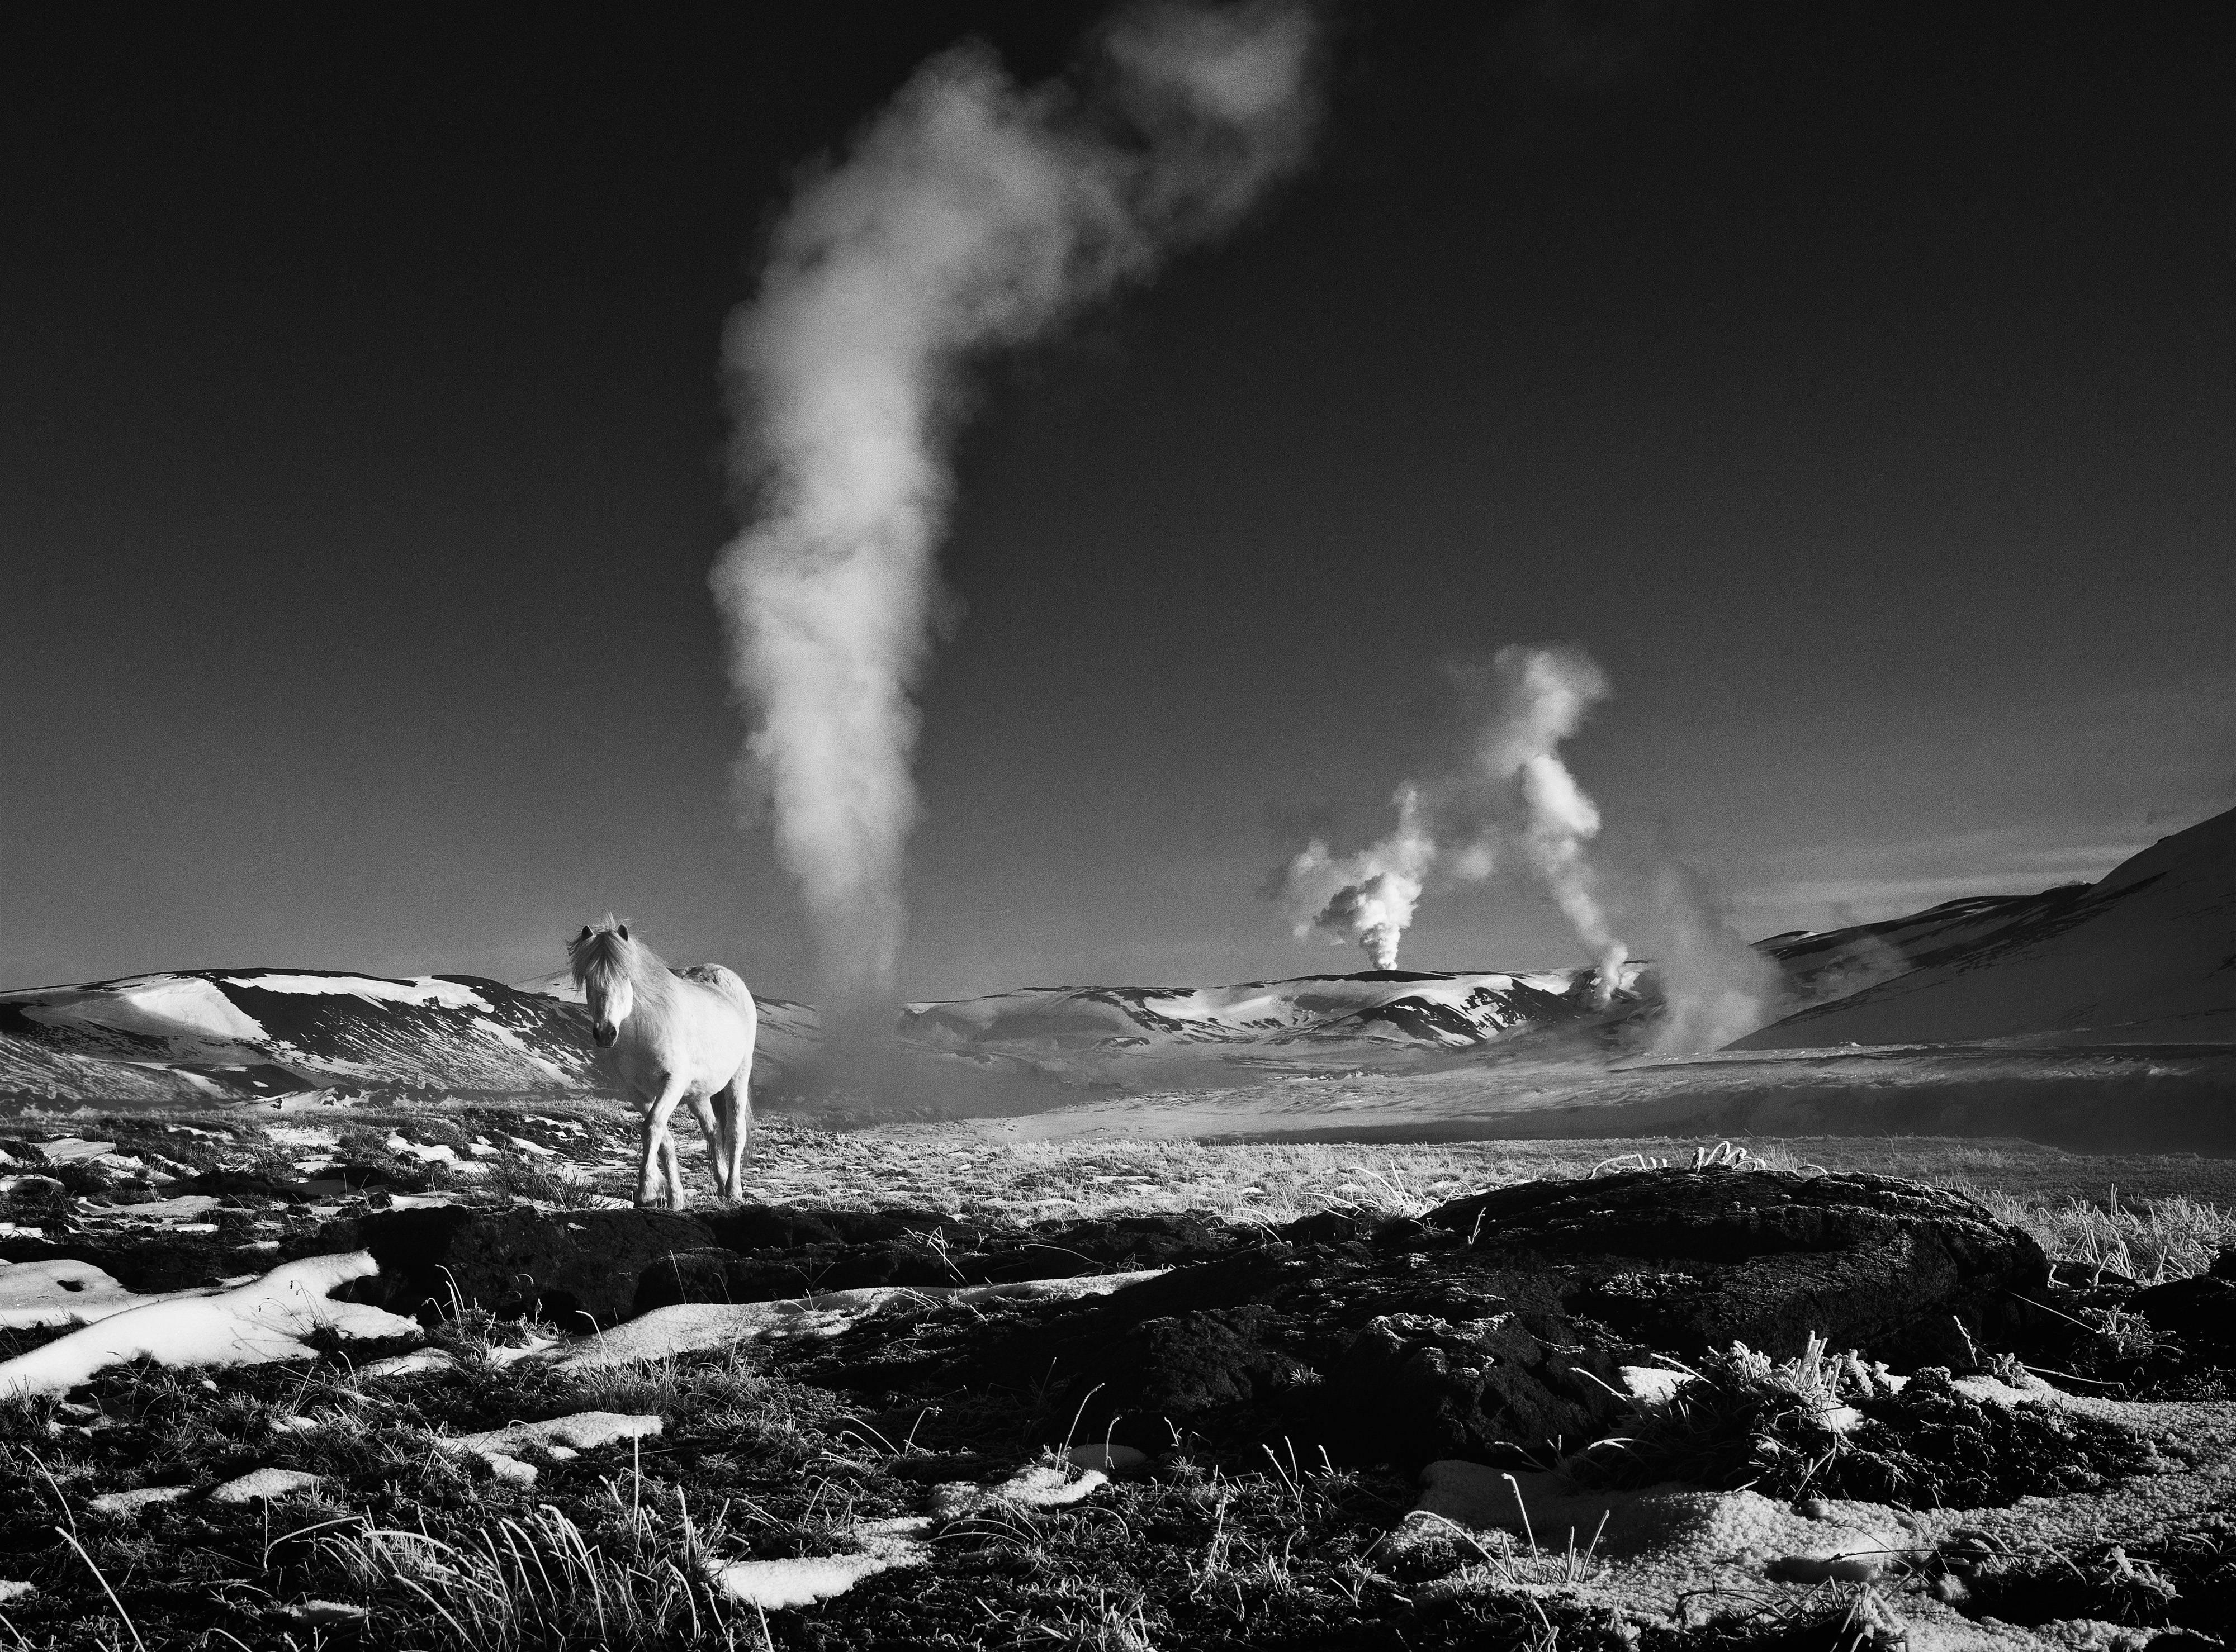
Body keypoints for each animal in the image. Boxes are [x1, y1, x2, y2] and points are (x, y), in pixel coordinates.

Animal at [568, 925, 760, 1207]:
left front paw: (646, 1192)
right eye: (589, 978)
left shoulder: (673, 1083)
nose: (605, 1033)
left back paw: (734, 1190)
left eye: (625, 976)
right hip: (698, 1095)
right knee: (713, 1131)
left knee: (735, 1130)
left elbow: (652, 1127)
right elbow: (663, 1138)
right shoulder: (638, 1093)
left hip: (738, 1077)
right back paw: (721, 1184)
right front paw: (674, 1197)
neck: (644, 1031)